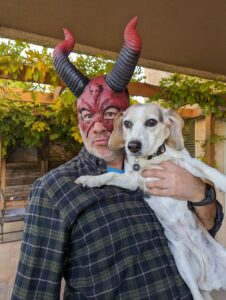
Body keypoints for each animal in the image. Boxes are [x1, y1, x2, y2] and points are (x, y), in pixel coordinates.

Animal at [75, 103, 226, 300]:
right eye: (127, 123)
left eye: (151, 122)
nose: (132, 146)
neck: (151, 159)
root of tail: (207, 279)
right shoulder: (133, 180)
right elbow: (110, 175)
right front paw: (91, 179)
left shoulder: (185, 164)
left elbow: (206, 169)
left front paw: (223, 181)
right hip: (184, 267)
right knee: (195, 293)